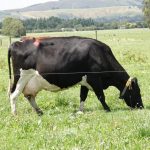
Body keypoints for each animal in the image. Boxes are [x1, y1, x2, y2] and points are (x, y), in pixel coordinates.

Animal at [7, 36, 143, 116]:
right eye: (137, 91)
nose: (141, 106)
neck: (100, 54)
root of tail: (16, 43)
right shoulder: (95, 79)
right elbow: (101, 96)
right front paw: (107, 109)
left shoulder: (85, 81)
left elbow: (83, 96)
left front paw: (80, 111)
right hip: (21, 77)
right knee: (13, 95)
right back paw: (15, 114)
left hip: (30, 82)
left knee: (29, 96)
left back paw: (39, 111)